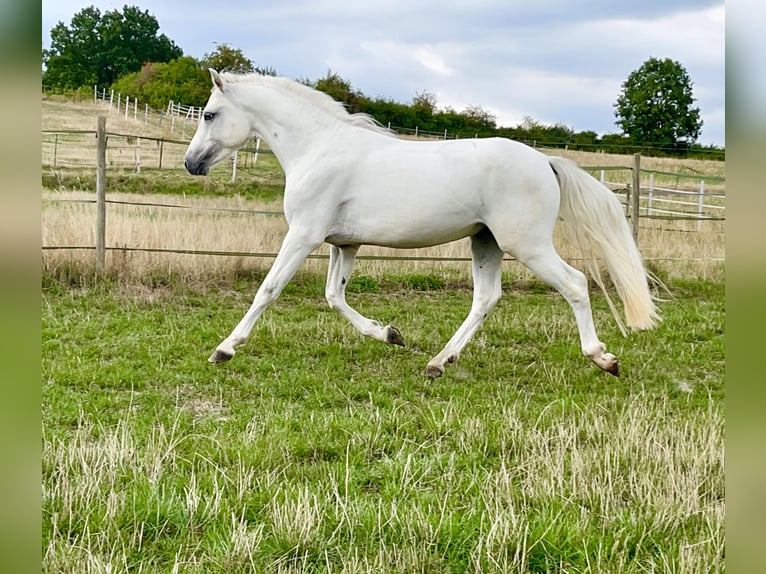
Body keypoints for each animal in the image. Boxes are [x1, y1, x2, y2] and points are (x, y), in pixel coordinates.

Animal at [186, 70, 660, 378]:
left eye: (209, 114)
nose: (191, 164)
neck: (319, 148)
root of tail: (545, 161)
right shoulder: (344, 244)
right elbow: (334, 297)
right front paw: (389, 334)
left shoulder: (303, 235)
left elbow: (268, 289)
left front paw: (224, 349)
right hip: (485, 243)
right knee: (486, 298)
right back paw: (438, 362)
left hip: (527, 245)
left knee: (575, 283)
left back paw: (603, 359)